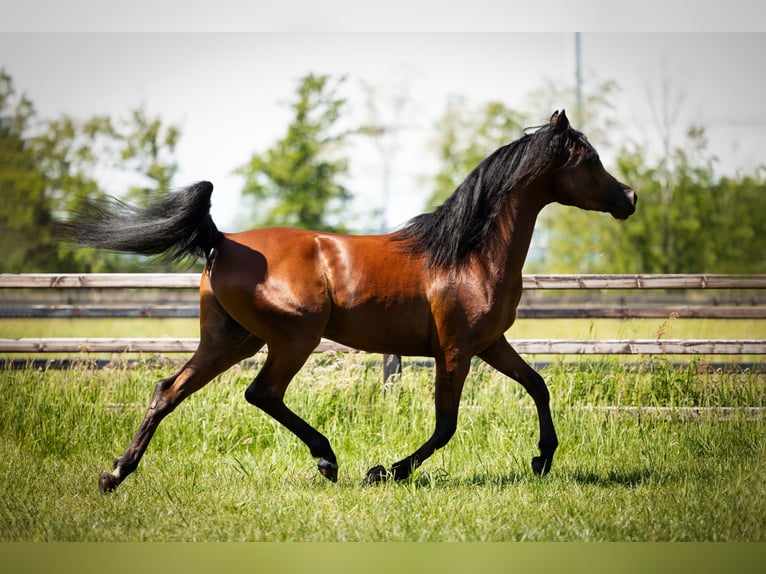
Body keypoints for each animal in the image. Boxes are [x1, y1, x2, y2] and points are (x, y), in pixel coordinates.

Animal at [58, 111, 636, 496]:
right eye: (590, 160)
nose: (629, 197)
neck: (469, 252)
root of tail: (222, 239)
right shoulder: (455, 349)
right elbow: (446, 424)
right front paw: (387, 470)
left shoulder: (491, 342)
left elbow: (538, 385)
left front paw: (543, 459)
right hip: (293, 338)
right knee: (261, 393)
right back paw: (328, 461)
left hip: (230, 339)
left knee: (168, 391)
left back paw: (115, 474)